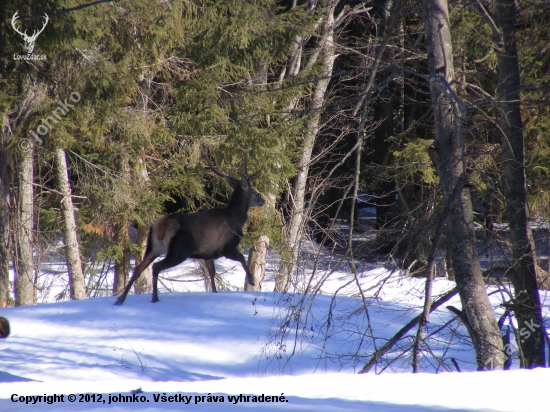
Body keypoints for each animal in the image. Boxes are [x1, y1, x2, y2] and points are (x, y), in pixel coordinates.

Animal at [115, 149, 264, 306]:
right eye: (254, 192)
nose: (263, 201)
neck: (237, 218)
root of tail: (163, 224)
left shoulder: (207, 253)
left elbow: (212, 274)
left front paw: (215, 292)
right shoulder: (227, 247)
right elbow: (241, 258)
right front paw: (251, 280)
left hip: (153, 246)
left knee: (139, 268)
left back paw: (120, 299)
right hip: (180, 249)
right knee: (156, 267)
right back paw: (154, 298)